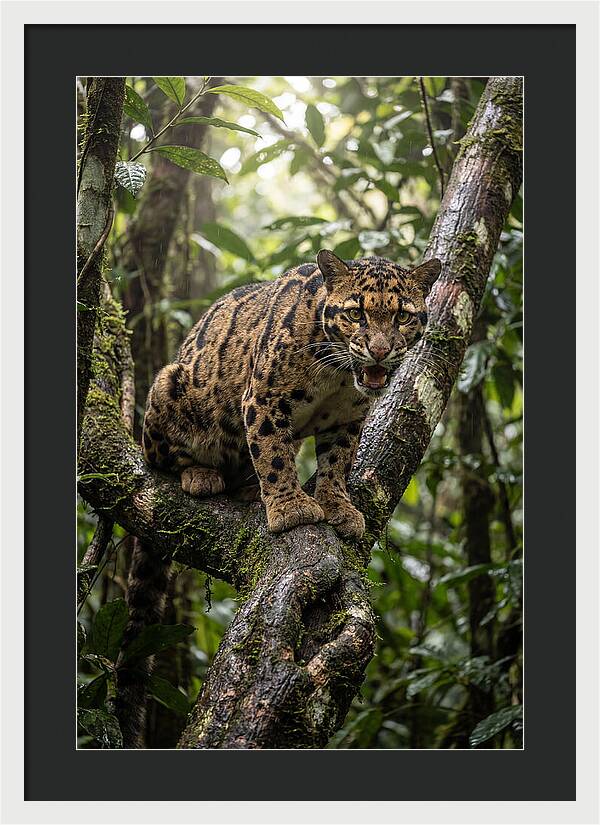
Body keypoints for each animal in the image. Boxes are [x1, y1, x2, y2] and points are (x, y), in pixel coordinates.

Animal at [142, 249, 442, 540]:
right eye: (356, 314)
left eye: (402, 317)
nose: (379, 351)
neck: (337, 374)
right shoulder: (263, 399)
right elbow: (273, 454)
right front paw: (291, 507)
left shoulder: (348, 418)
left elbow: (338, 462)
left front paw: (338, 505)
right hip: (168, 383)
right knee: (164, 460)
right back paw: (201, 474)